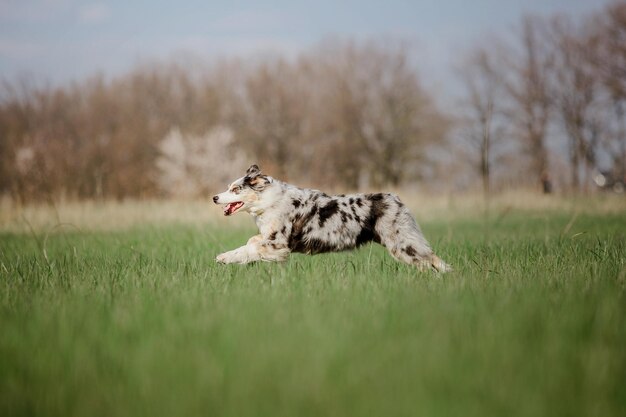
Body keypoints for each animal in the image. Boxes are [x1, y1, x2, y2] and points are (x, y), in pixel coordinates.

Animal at [212, 164, 450, 272]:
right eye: (228, 187)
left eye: (235, 189)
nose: (214, 197)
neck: (268, 201)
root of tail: (395, 198)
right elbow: (249, 244)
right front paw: (225, 258)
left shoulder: (277, 244)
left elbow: (250, 246)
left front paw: (224, 257)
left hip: (402, 244)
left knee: (431, 259)